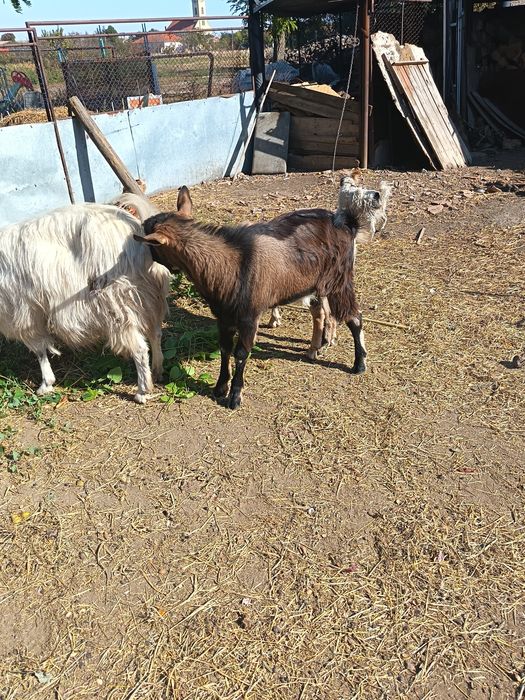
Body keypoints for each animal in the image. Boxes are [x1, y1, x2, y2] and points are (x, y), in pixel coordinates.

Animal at [0, 204, 170, 403]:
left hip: (116, 302)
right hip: (148, 295)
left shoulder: (23, 313)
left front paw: (46, 383)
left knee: (140, 348)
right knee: (156, 333)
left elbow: (39, 349)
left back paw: (142, 391)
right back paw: (157, 370)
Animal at [134, 186, 367, 409]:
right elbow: (225, 349)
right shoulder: (223, 316)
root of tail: (347, 225)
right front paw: (220, 387)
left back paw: (359, 364)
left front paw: (235, 396)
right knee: (321, 313)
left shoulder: (248, 316)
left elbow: (241, 353)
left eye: (151, 243)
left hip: (339, 280)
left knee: (354, 317)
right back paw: (315, 349)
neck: (231, 263)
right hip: (316, 285)